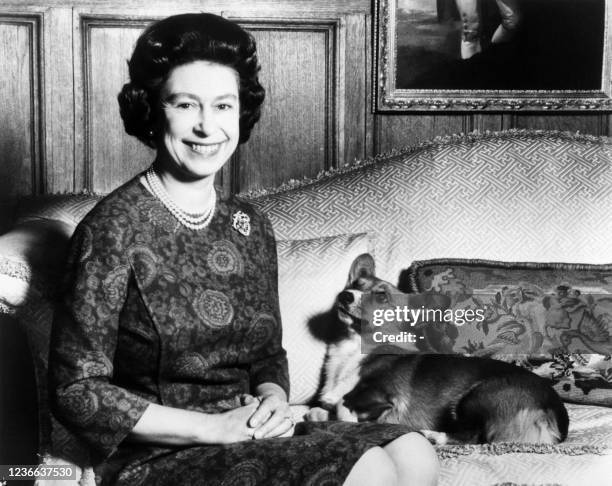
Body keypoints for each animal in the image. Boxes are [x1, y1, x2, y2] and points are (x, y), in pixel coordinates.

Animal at [308, 254, 572, 444]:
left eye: (381, 296)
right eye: (355, 284)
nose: (345, 295)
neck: (353, 349)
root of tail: (554, 418)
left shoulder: (385, 397)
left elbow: (342, 405)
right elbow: (319, 410)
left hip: (476, 395)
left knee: (475, 437)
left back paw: (432, 435)